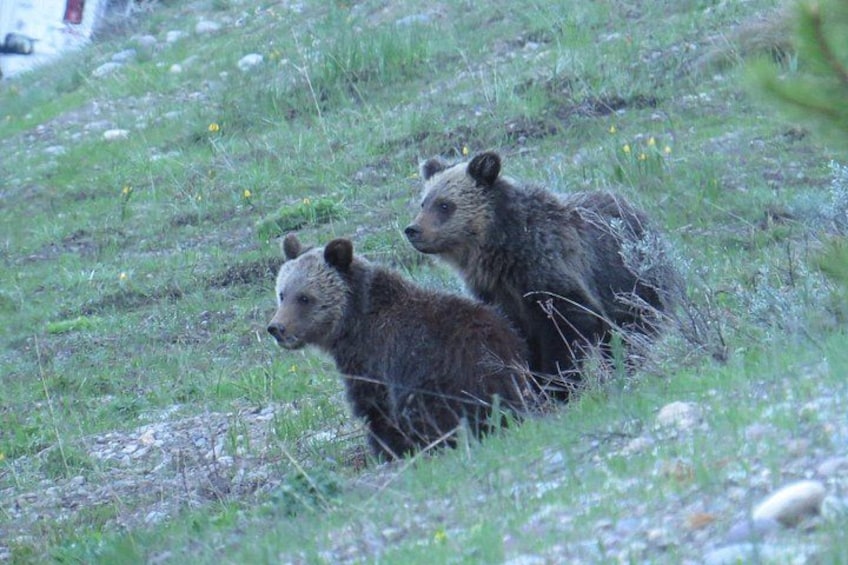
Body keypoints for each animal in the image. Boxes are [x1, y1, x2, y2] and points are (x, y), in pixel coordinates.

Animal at [267, 233, 538, 460]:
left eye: (304, 297)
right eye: (282, 293)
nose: (277, 328)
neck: (352, 324)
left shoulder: (374, 360)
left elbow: (377, 411)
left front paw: (387, 450)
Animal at [404, 151, 682, 396]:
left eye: (445, 205)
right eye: (424, 202)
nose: (413, 230)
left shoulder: (550, 272)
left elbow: (563, 329)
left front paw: (556, 385)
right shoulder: (497, 295)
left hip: (627, 282)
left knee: (630, 331)